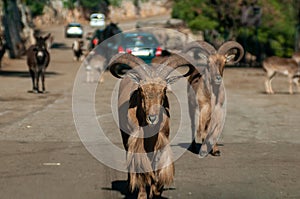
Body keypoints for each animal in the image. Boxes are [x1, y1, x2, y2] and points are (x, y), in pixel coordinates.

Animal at [108, 52, 195, 198]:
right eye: (140, 89)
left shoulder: (161, 141)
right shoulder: (136, 143)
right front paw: (142, 195)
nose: (152, 118)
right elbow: (141, 167)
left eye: (164, 89)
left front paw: (155, 192)